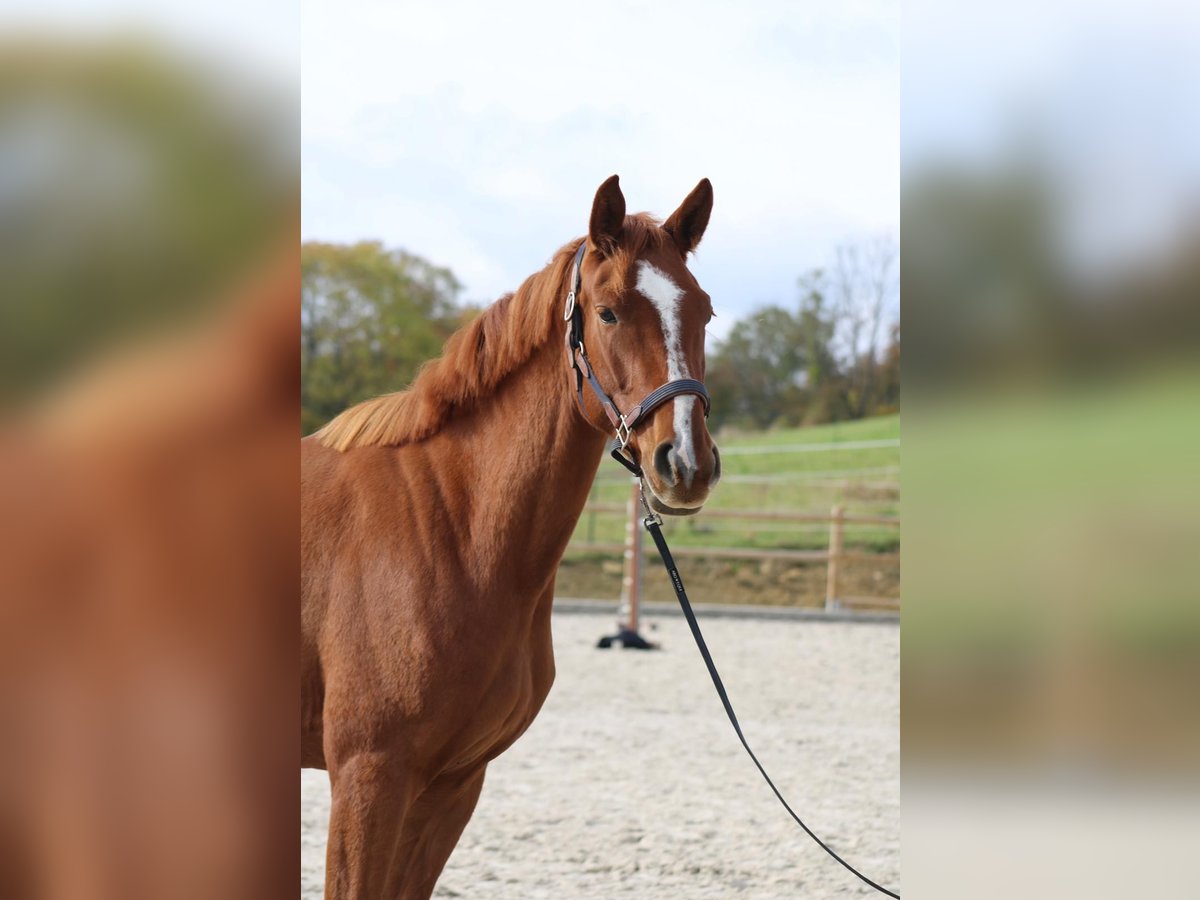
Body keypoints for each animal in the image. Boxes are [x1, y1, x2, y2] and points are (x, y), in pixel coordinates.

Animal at [300, 172, 720, 897]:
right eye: (608, 313)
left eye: (705, 312)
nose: (686, 463)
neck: (453, 526)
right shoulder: (368, 774)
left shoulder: (452, 784)